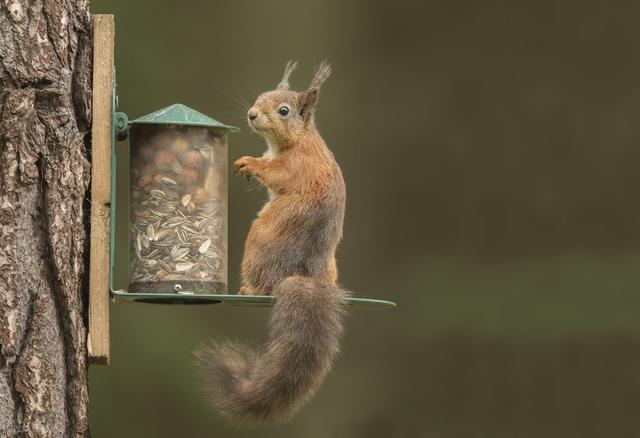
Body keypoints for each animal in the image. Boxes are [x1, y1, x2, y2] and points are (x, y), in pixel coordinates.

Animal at [195, 61, 348, 424]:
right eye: (259, 97)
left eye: (284, 111)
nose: (251, 114)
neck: (296, 140)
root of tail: (307, 275)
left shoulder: (296, 165)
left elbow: (277, 175)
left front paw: (249, 163)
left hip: (262, 237)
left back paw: (250, 289)